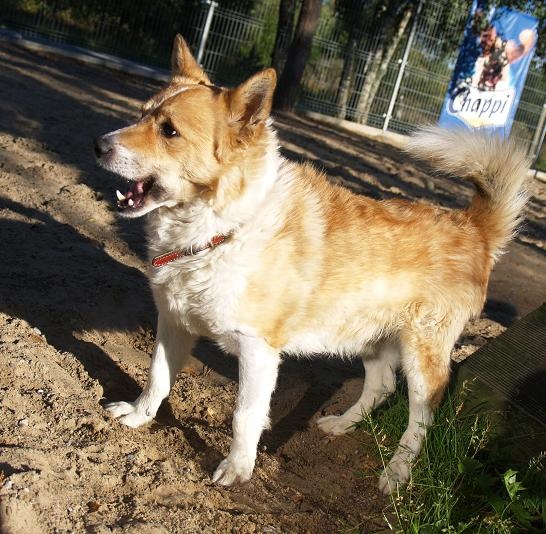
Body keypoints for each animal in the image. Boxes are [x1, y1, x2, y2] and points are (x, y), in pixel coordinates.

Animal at [94, 35, 528, 494]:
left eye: (169, 130)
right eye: (142, 112)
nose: (99, 145)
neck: (220, 229)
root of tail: (474, 225)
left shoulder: (258, 350)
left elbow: (245, 417)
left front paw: (238, 469)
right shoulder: (174, 321)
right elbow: (157, 377)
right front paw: (139, 416)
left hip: (421, 358)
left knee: (422, 417)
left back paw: (397, 472)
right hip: (370, 339)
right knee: (381, 387)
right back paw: (341, 425)